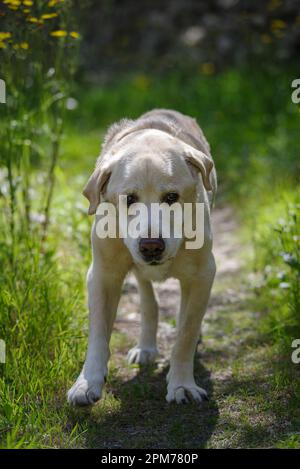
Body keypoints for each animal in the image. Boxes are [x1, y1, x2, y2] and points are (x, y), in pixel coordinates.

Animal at [67, 108, 217, 404]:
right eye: (129, 199)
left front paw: (182, 384)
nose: (151, 246)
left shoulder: (202, 275)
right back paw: (146, 347)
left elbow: (185, 333)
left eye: (171, 196)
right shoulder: (102, 275)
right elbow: (98, 334)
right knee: (149, 301)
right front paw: (86, 383)